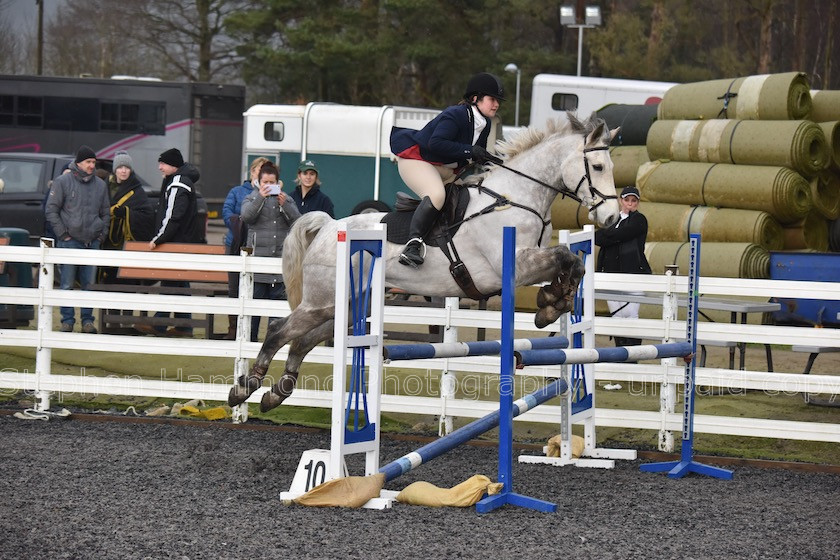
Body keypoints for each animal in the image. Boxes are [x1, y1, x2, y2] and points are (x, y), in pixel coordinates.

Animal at [226, 114, 620, 412]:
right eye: (598, 166)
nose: (613, 218)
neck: (515, 197)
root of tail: (327, 227)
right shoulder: (514, 265)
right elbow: (564, 257)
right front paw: (550, 305)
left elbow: (572, 263)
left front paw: (553, 303)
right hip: (323, 301)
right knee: (280, 330)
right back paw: (246, 387)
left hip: (348, 304)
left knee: (304, 340)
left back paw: (277, 392)